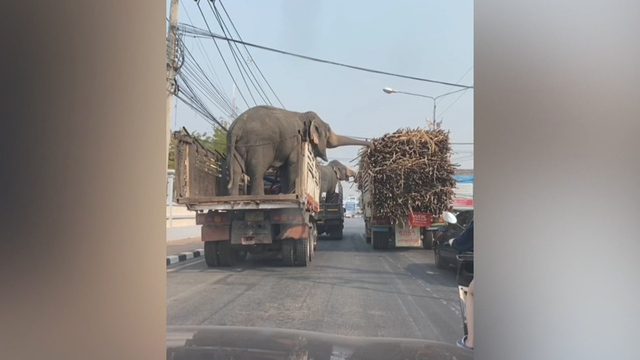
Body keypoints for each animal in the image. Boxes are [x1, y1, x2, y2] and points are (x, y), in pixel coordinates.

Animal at [226, 105, 372, 195]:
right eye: (329, 131)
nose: (371, 145)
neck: (305, 117)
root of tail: (237, 125)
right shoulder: (298, 140)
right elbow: (292, 164)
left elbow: (285, 169)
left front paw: (285, 193)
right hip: (259, 144)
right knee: (257, 171)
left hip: (235, 147)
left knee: (234, 170)